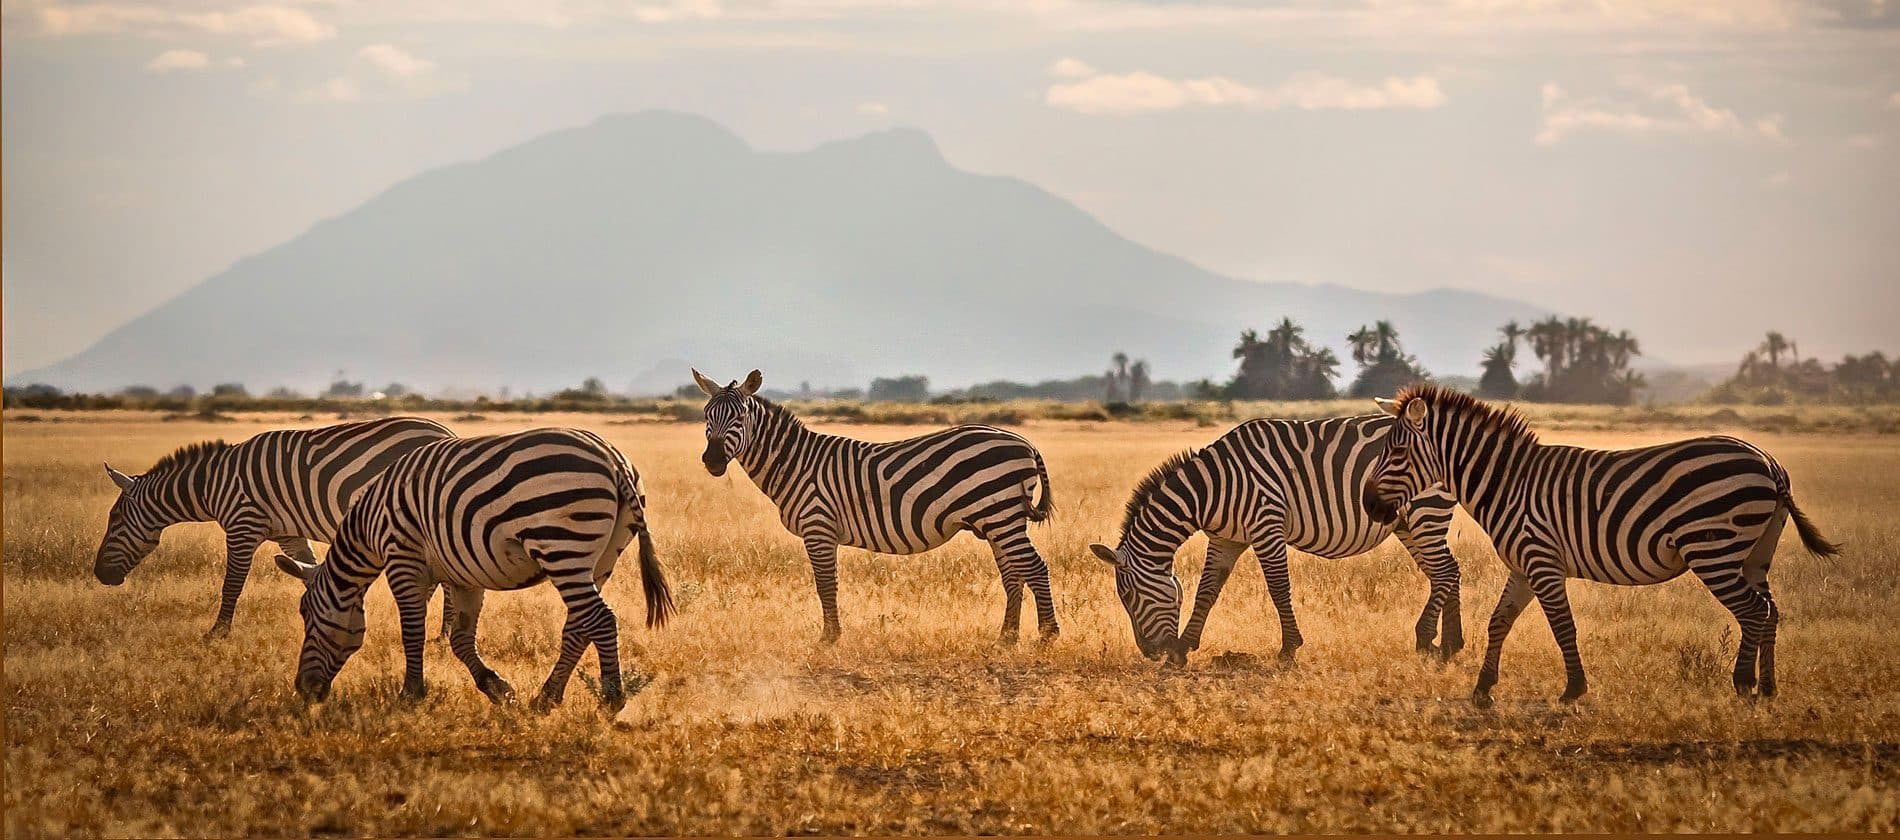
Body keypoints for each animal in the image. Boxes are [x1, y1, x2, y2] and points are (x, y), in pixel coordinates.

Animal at [94, 416, 454, 639]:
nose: (99, 574)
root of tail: (446, 434)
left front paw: (218, 632)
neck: (211, 485)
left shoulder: (243, 525)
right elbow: (306, 569)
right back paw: (441, 631)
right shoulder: (288, 534)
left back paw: (442, 632)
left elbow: (232, 583)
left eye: (115, 520)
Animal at [273, 427, 674, 711]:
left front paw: (410, 693)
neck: (369, 527)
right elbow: (461, 639)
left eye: (306, 615)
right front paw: (497, 689)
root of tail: (614, 461)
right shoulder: (463, 575)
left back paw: (611, 698)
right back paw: (546, 698)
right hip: (601, 556)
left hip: (561, 545)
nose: (303, 690)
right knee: (579, 625)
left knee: (600, 619)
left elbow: (412, 631)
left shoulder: (403, 558)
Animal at [692, 368, 1057, 645]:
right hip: (998, 520)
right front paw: (832, 635)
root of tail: (1026, 443)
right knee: (1014, 574)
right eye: (707, 416)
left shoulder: (818, 526)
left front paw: (829, 638)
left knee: (1035, 567)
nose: (712, 461)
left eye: (740, 417)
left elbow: (825, 584)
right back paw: (1006, 638)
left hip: (1000, 515)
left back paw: (1047, 635)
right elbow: (827, 584)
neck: (796, 463)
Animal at [1088, 416, 1463, 666]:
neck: (1211, 488)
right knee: (1447, 572)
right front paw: (1181, 651)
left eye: (1128, 596)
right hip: (1408, 523)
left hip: (1425, 510)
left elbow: (1278, 588)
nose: (1150, 653)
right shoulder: (1226, 538)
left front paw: (1289, 649)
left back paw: (1426, 640)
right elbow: (1207, 591)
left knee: (1444, 571)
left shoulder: (1266, 524)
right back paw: (1450, 644)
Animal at [1361, 384, 1841, 705]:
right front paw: (1482, 689)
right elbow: (1499, 622)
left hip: (1714, 550)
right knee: (1770, 610)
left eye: (1396, 453)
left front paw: (1573, 689)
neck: (1508, 483)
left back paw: (1743, 684)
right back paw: (1769, 687)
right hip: (1755, 554)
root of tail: (1770, 462)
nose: (1368, 504)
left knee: (1753, 611)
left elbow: (1562, 626)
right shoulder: (1522, 565)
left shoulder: (1542, 560)